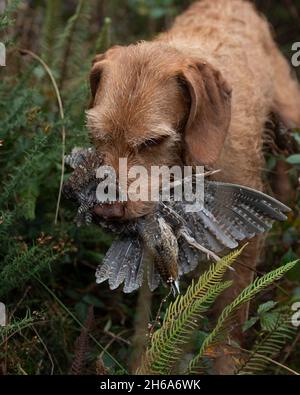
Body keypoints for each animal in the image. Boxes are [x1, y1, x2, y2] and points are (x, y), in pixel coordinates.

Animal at [86, 0, 300, 372]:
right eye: (97, 135)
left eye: (153, 141)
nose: (106, 211)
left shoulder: (245, 243)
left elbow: (230, 313)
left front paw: (226, 361)